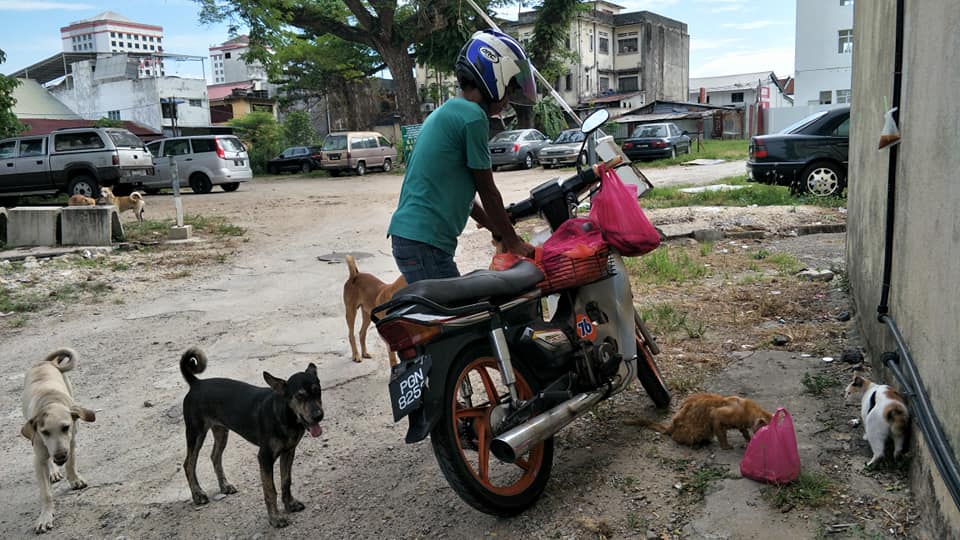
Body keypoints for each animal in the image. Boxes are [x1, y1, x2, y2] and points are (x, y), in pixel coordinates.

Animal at [20, 348, 96, 532]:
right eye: (45, 432)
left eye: (65, 427)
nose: (60, 456)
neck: (49, 402)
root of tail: (45, 362)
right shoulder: (38, 457)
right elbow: (46, 493)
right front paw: (45, 516)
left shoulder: (72, 441)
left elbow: (71, 463)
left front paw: (74, 479)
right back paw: (53, 471)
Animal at [180, 346, 326, 528]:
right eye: (300, 396)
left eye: (317, 391)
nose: (318, 416)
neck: (285, 415)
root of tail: (196, 383)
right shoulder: (264, 458)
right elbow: (270, 490)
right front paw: (275, 518)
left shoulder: (288, 452)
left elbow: (286, 481)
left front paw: (290, 504)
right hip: (196, 432)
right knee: (188, 464)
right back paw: (198, 494)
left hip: (221, 431)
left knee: (215, 456)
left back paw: (224, 486)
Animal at [632, 394, 772, 450]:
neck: (748, 410)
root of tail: (673, 425)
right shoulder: (718, 415)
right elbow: (721, 432)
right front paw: (725, 446)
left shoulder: (741, 423)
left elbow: (744, 432)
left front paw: (748, 439)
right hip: (697, 430)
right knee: (677, 437)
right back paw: (697, 443)